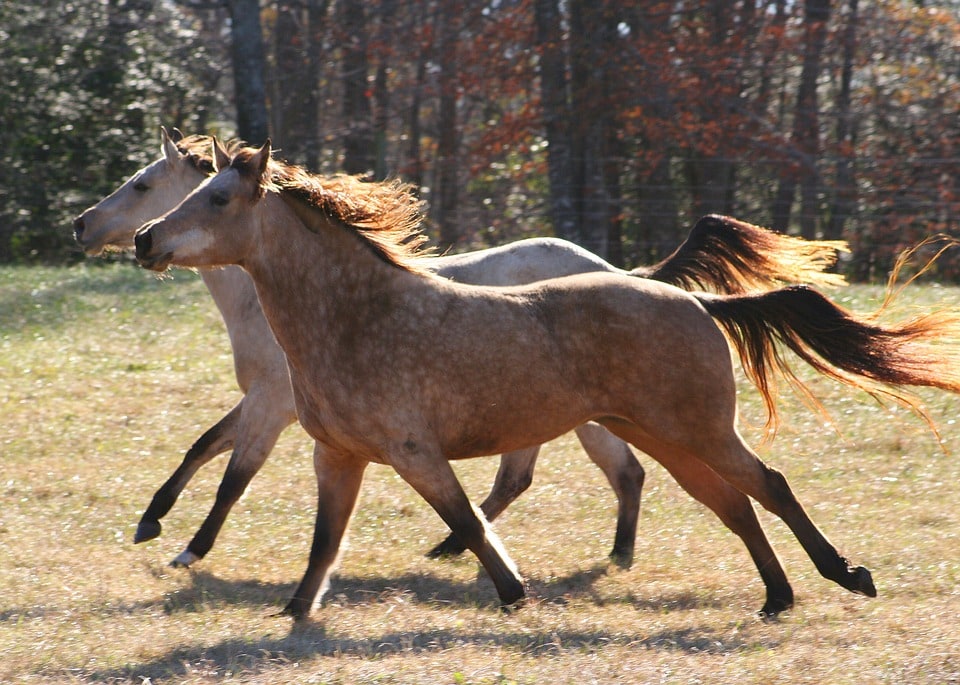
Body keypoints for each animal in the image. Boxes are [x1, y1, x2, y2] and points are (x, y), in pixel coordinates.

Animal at [133, 139, 960, 620]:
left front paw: (511, 590)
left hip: (696, 429)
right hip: (660, 436)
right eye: (187, 192)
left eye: (216, 198)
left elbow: (467, 518)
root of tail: (696, 300)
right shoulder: (335, 454)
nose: (143, 239)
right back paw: (778, 597)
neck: (358, 316)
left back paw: (845, 576)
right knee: (733, 504)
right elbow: (322, 542)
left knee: (770, 486)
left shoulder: (411, 451)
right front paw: (294, 612)